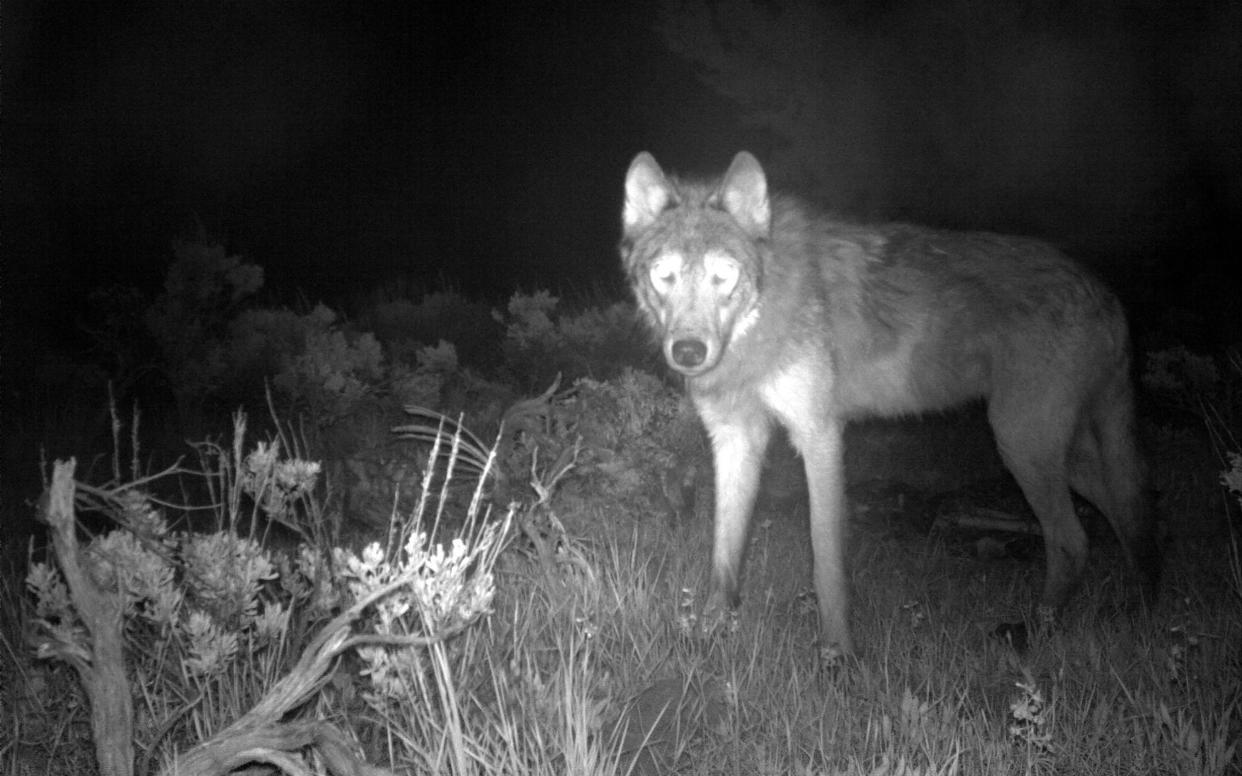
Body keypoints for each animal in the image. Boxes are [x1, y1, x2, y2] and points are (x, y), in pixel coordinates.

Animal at [625, 151, 1157, 655]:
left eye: (724, 275)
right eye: (664, 276)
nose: (688, 352)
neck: (761, 318)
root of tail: (1104, 293)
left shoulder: (819, 435)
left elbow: (826, 563)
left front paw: (838, 653)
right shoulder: (736, 439)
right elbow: (724, 554)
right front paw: (709, 632)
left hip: (1021, 445)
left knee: (1073, 540)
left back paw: (1038, 631)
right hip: (1057, 455)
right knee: (1129, 518)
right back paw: (1135, 609)